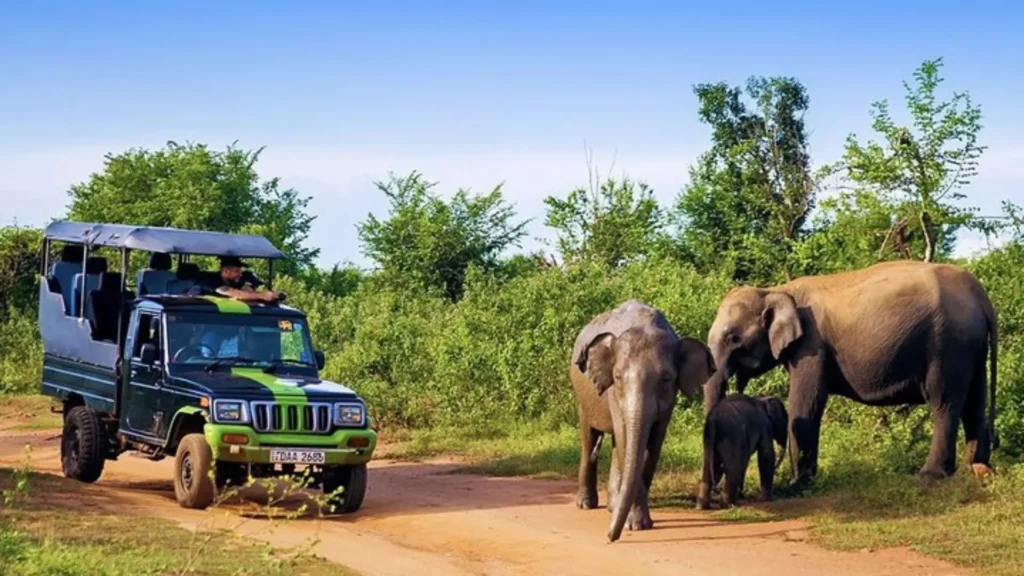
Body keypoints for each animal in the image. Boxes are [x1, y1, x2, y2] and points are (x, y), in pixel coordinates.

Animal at [570, 299, 715, 542]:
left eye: (666, 379)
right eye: (617, 377)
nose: (610, 537)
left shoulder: (669, 400)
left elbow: (652, 444)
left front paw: (637, 522)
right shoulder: (612, 394)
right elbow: (625, 437)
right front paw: (635, 524)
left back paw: (613, 507)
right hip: (582, 396)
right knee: (590, 438)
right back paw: (585, 504)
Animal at [702, 260, 998, 488]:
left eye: (733, 338)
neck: (775, 290)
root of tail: (981, 297)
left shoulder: (811, 346)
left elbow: (807, 404)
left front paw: (796, 485)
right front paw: (805, 481)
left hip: (948, 343)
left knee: (944, 402)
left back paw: (930, 476)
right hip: (972, 345)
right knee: (975, 401)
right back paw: (977, 469)